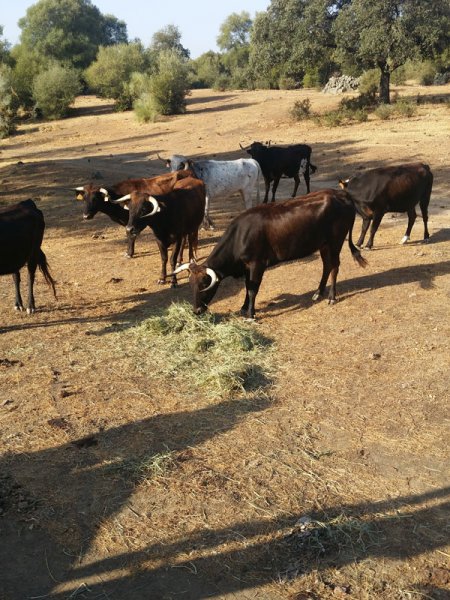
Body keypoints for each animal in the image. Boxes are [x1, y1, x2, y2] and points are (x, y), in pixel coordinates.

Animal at [174, 189, 368, 318]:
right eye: (190, 285)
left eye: (204, 284)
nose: (196, 310)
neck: (240, 235)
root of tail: (342, 194)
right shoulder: (247, 266)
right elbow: (247, 286)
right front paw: (244, 307)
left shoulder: (257, 264)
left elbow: (253, 288)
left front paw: (251, 314)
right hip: (324, 245)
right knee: (327, 266)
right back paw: (318, 293)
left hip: (335, 242)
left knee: (334, 267)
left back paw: (331, 297)